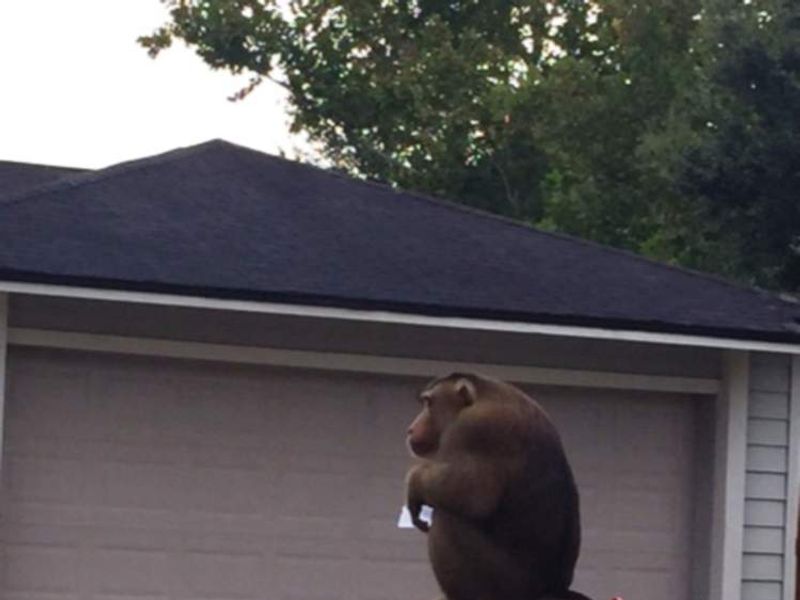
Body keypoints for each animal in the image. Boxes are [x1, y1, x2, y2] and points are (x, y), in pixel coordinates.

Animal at [405, 373, 592, 600]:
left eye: (428, 403)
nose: (411, 428)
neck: (481, 396)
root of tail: (553, 589)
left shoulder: (474, 429)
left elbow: (472, 493)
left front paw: (414, 483)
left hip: (507, 586)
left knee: (448, 517)